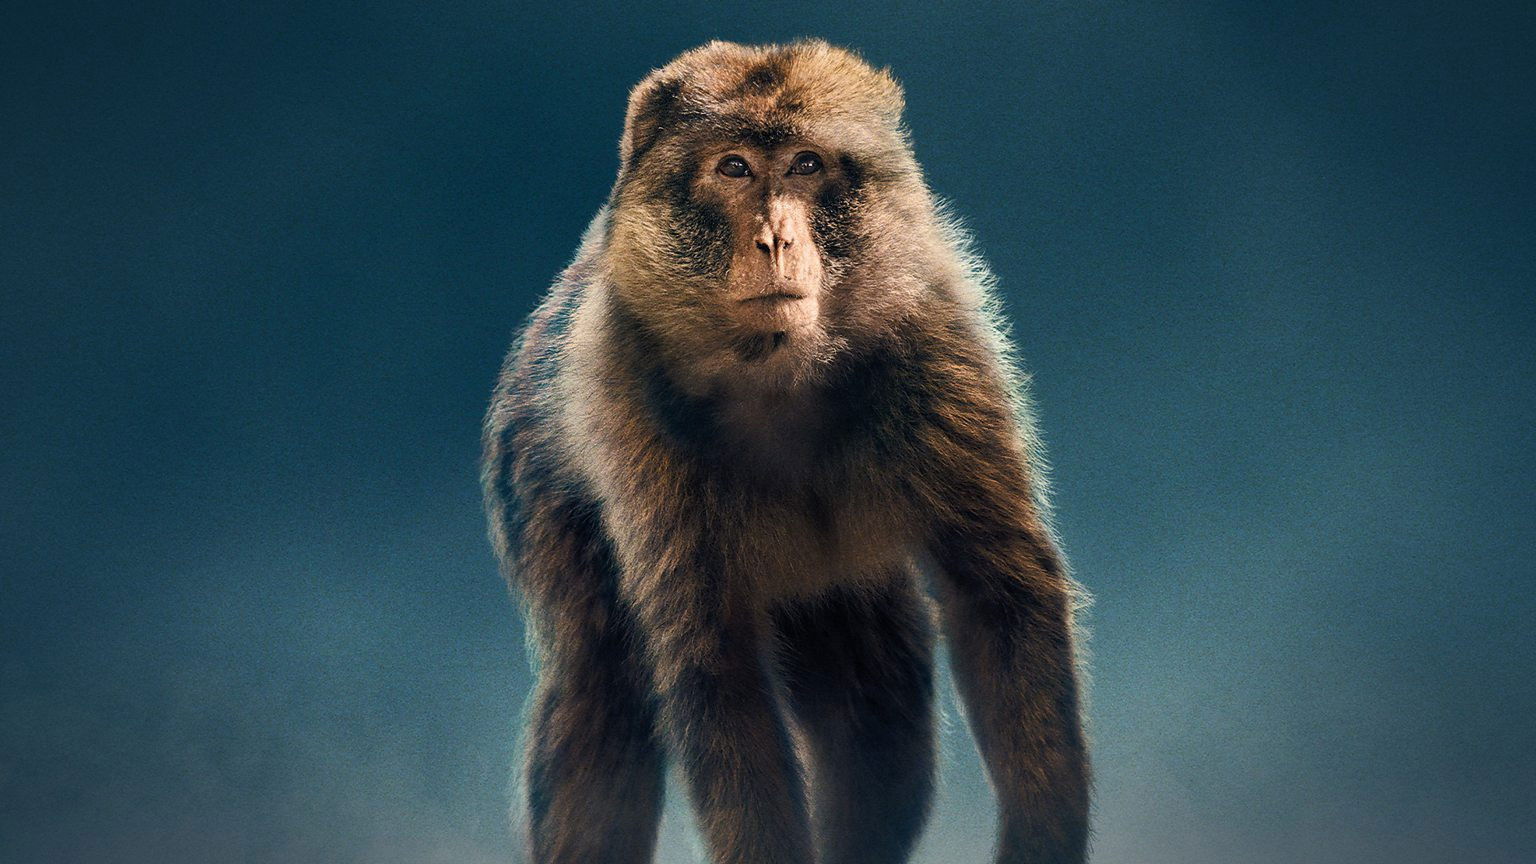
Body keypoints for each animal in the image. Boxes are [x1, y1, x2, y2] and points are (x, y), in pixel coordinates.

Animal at [481, 40, 1090, 864]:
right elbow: (716, 667)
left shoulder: (938, 344)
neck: (779, 370)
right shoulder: (624, 391)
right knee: (600, 684)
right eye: (735, 168)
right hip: (530, 466)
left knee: (878, 709)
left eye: (805, 165)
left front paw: (1041, 839)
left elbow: (998, 595)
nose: (776, 239)